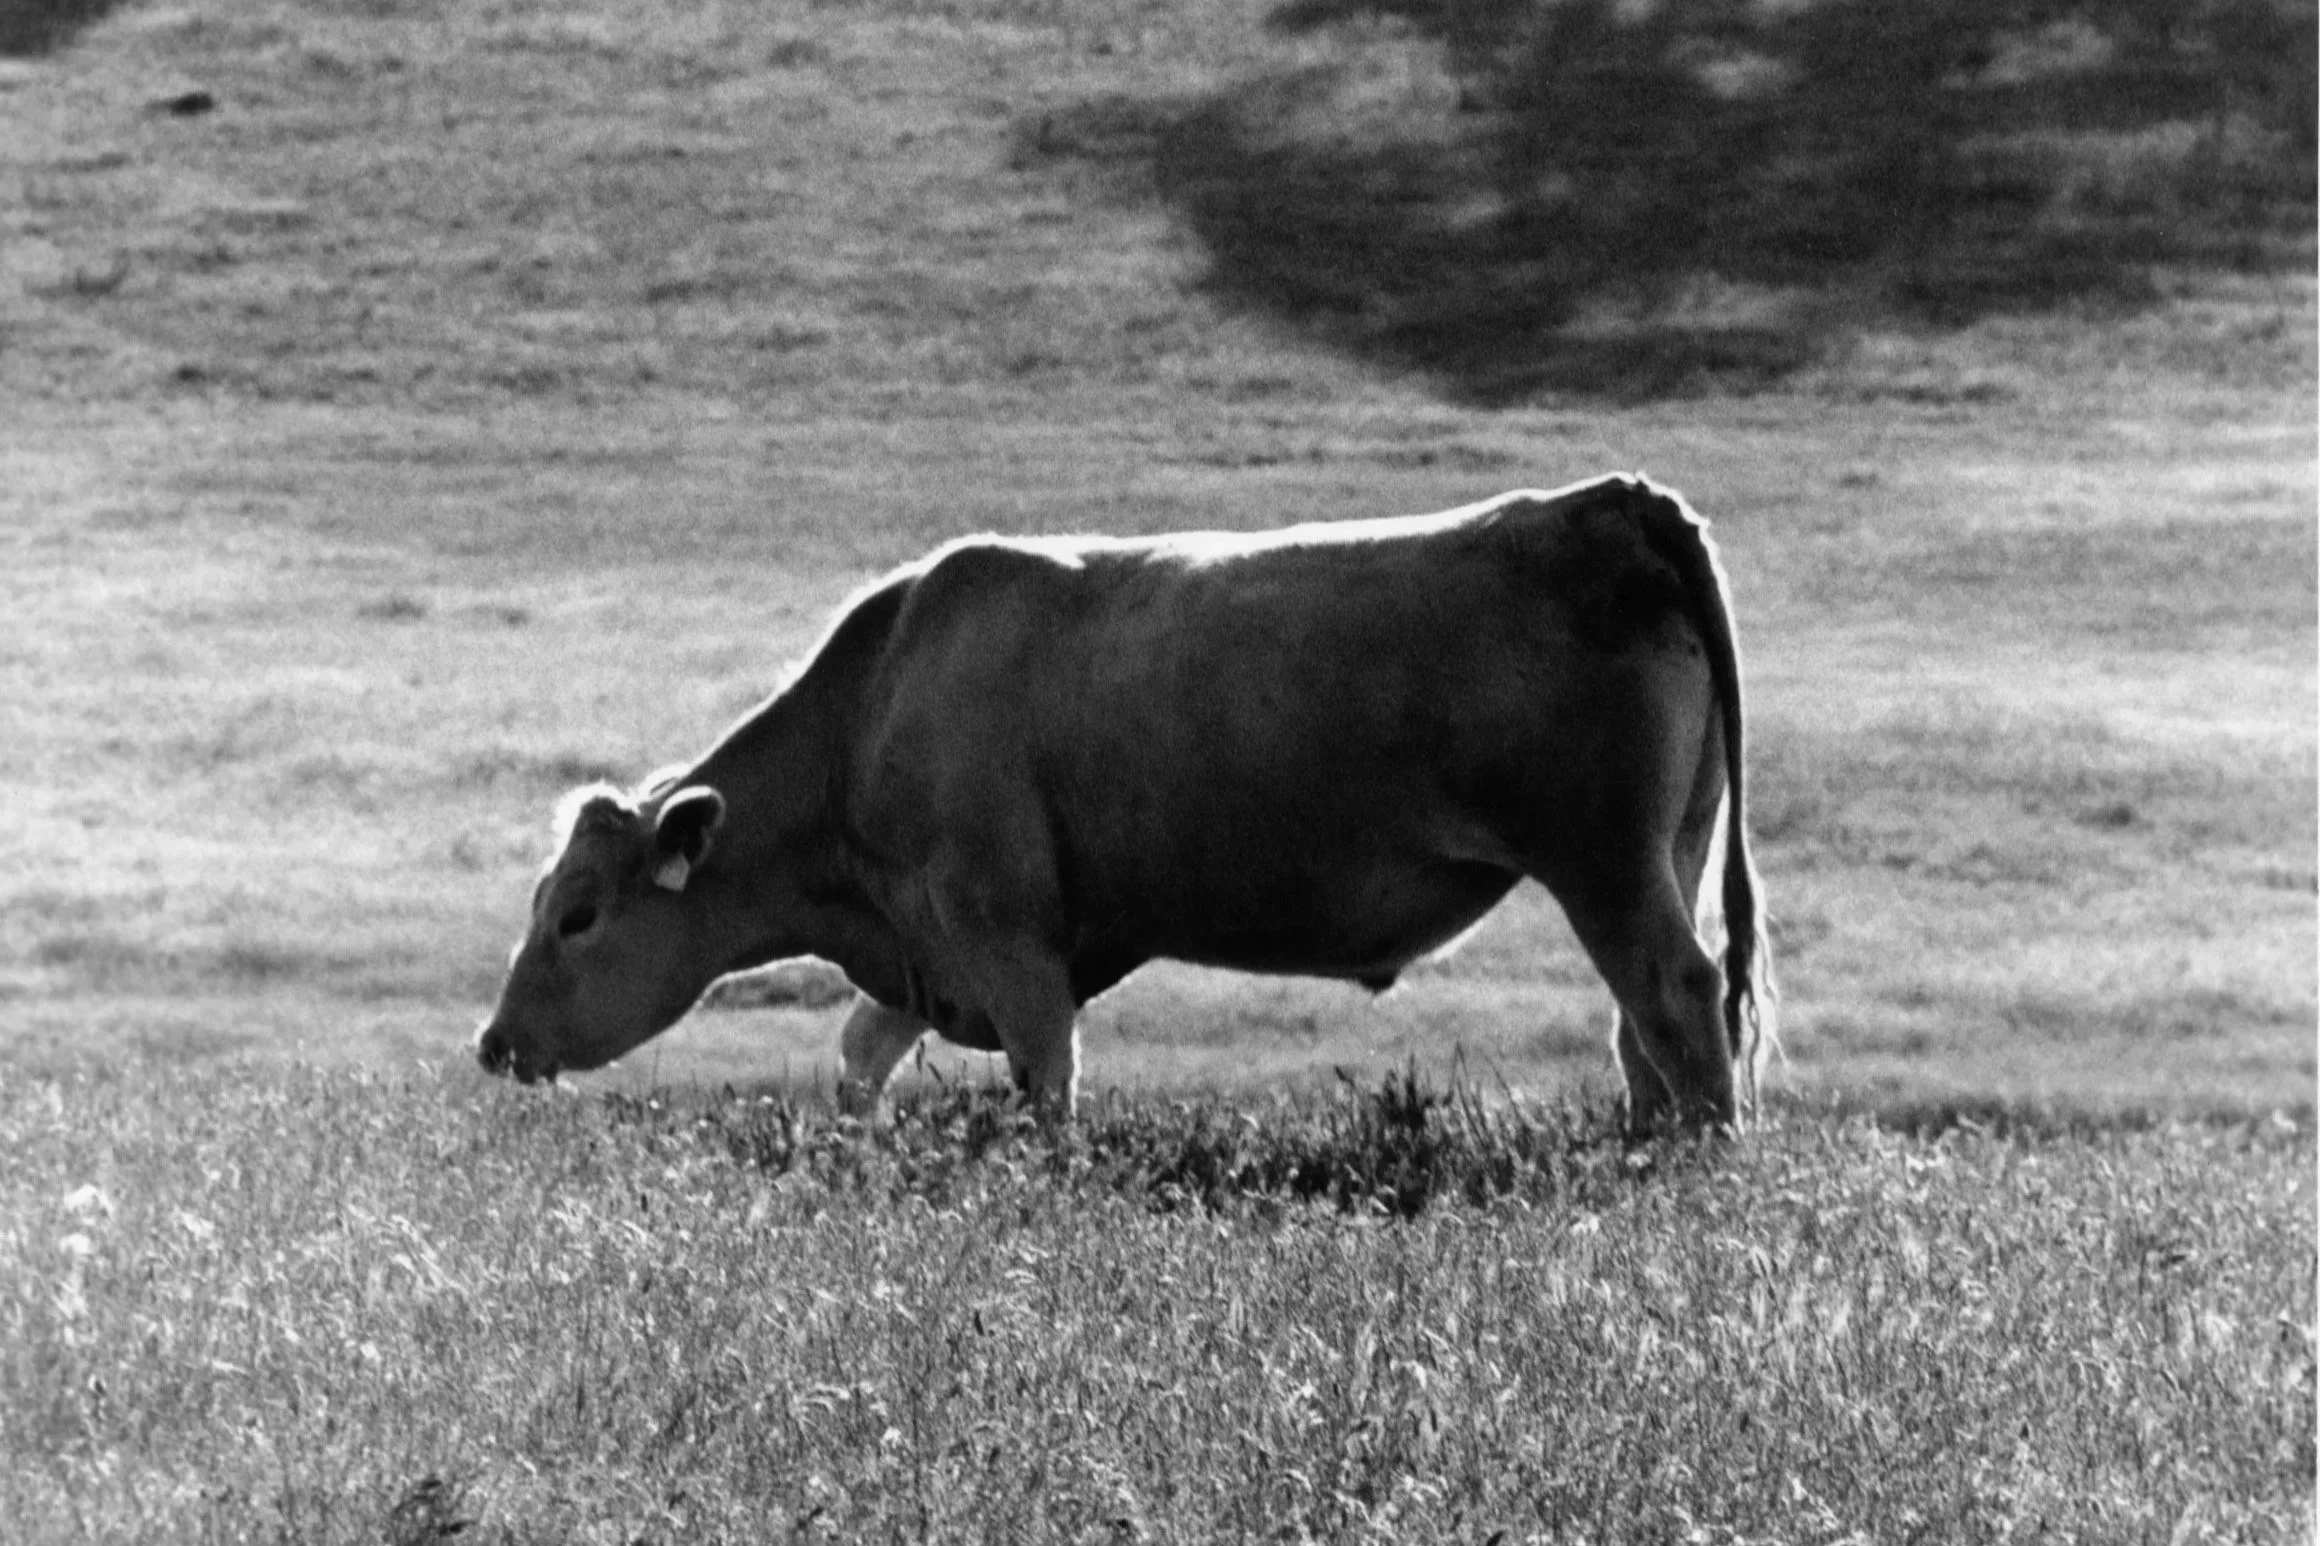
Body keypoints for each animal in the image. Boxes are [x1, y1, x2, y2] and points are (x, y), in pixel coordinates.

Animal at [475, 474, 1773, 1133]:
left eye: (578, 915)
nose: (493, 1043)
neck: (878, 698)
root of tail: (1609, 500)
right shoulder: (923, 954)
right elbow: (857, 1057)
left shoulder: (1007, 941)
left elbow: (1048, 1089)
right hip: (1666, 847)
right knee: (1645, 1027)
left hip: (1602, 861)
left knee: (1673, 997)